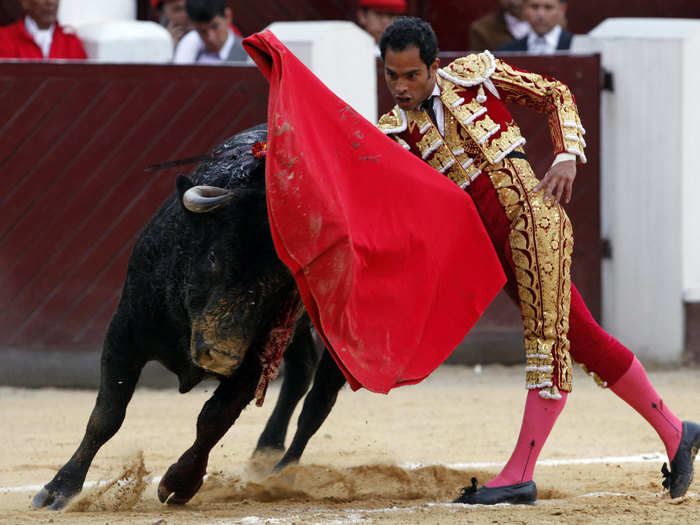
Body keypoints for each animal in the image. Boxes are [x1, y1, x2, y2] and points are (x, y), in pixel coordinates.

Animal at [32, 124, 348, 508]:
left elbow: (213, 418)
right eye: (213, 257)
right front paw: (60, 488)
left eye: (282, 281)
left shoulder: (252, 360)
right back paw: (265, 454)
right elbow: (107, 414)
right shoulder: (124, 332)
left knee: (318, 401)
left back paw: (282, 473)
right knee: (301, 373)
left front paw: (179, 483)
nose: (221, 355)